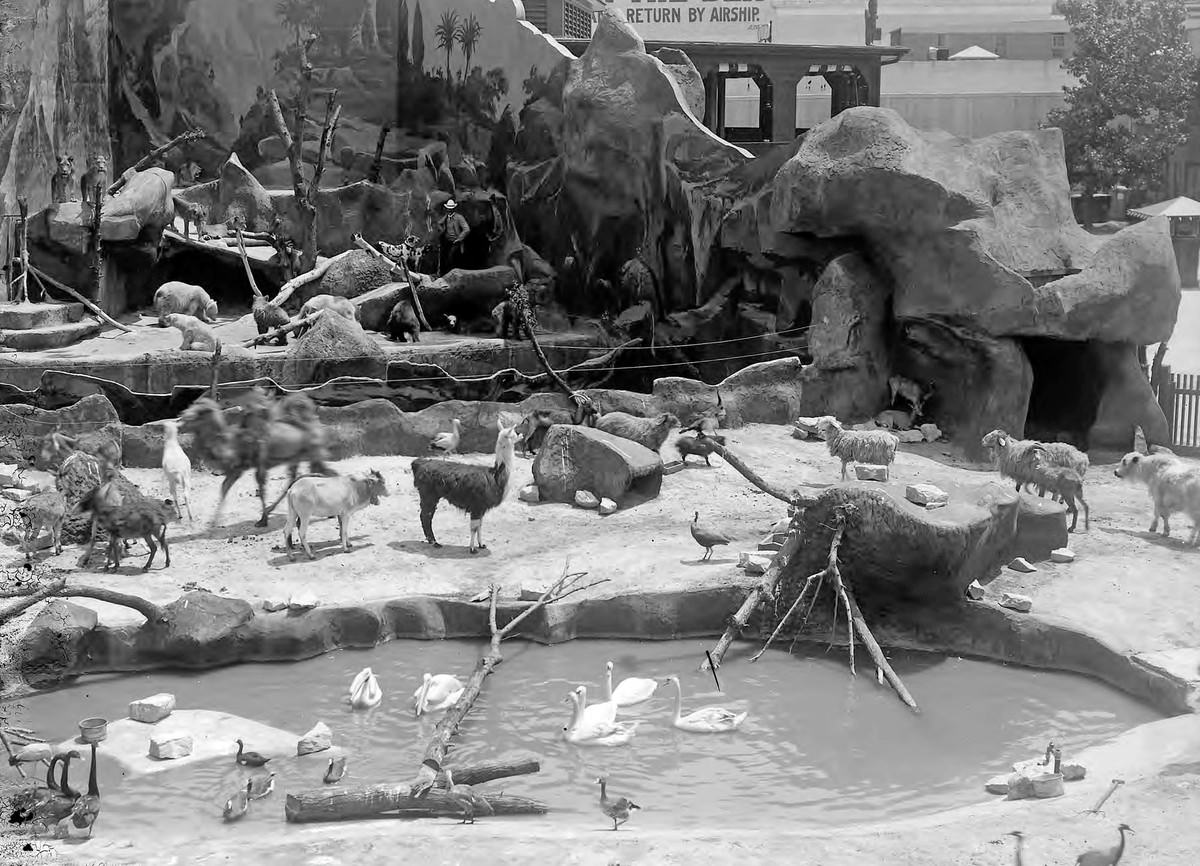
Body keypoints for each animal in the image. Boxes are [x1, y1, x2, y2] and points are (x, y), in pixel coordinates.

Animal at [410, 419, 518, 554]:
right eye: (513, 435)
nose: (521, 436)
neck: (496, 475)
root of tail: (419, 463)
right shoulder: (477, 505)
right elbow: (474, 528)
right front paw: (472, 549)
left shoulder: (482, 507)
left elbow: (480, 526)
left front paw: (481, 544)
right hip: (428, 493)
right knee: (426, 516)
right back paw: (435, 542)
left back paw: (432, 541)